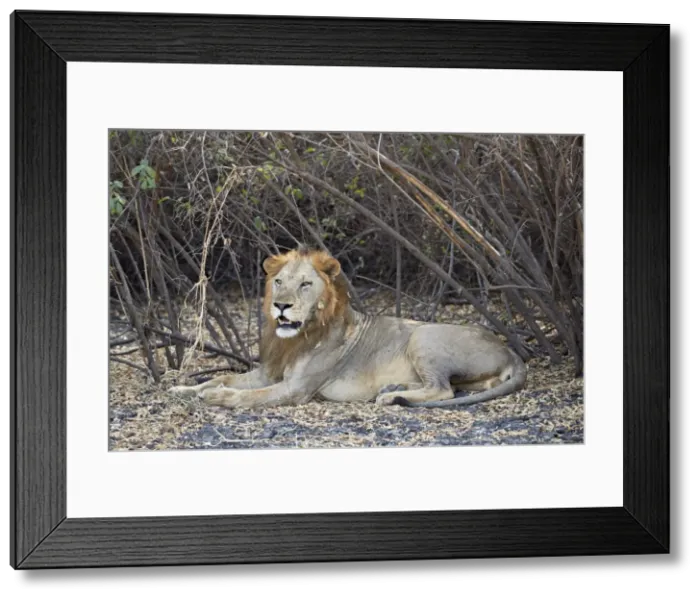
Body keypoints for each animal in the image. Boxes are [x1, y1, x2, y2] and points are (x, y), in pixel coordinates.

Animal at [169, 246, 527, 409]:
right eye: (279, 282)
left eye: (305, 284)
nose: (280, 306)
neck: (296, 338)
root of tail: (510, 350)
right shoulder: (269, 372)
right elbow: (222, 377)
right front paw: (183, 389)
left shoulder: (297, 388)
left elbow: (248, 395)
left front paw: (217, 396)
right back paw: (392, 388)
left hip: (423, 335)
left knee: (443, 389)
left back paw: (390, 396)